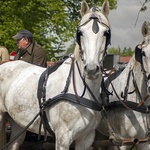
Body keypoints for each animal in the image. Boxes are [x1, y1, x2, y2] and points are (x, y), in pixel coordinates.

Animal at [0, 0, 110, 150]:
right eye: (80, 33)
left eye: (106, 33)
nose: (91, 69)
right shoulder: (63, 138)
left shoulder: (86, 139)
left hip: (18, 122)